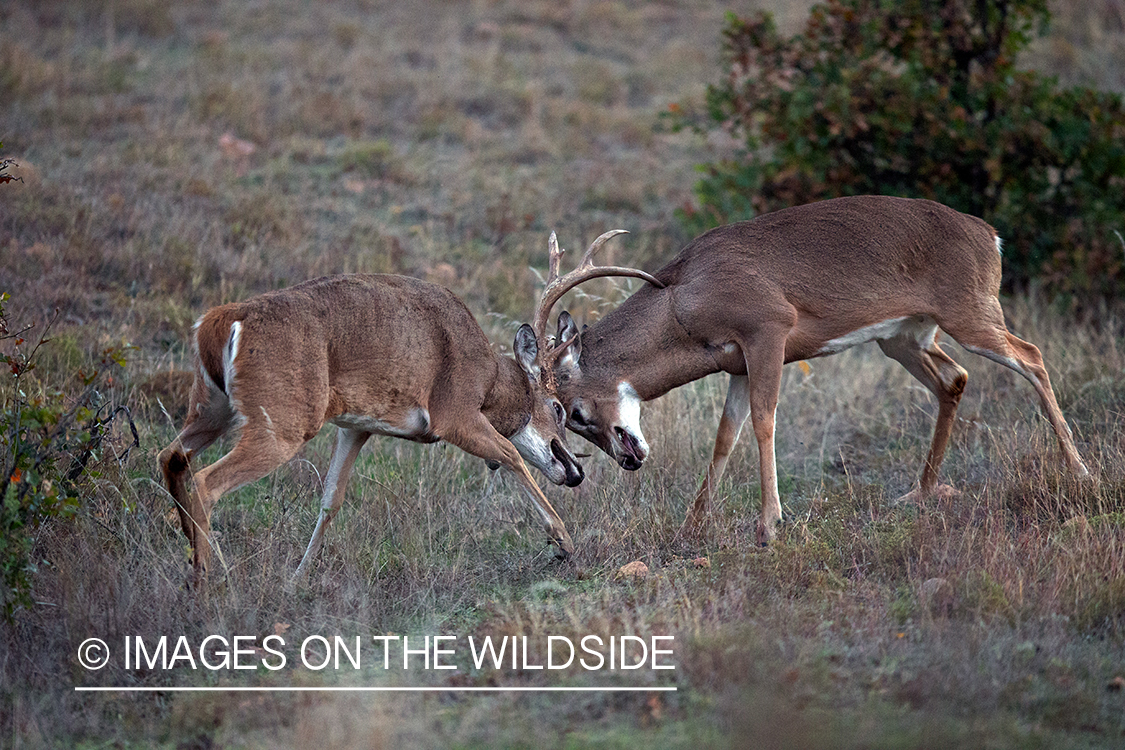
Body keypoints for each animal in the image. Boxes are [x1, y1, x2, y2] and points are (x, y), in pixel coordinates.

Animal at [160, 195, 1089, 580]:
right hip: (907, 337)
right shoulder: (737, 360)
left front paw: (769, 526)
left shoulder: (766, 336)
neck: (685, 293)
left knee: (1031, 356)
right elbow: (725, 436)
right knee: (957, 380)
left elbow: (761, 428)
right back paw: (920, 494)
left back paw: (1078, 475)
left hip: (962, 315)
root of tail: (985, 232)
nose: (623, 460)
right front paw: (694, 526)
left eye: (570, 404)